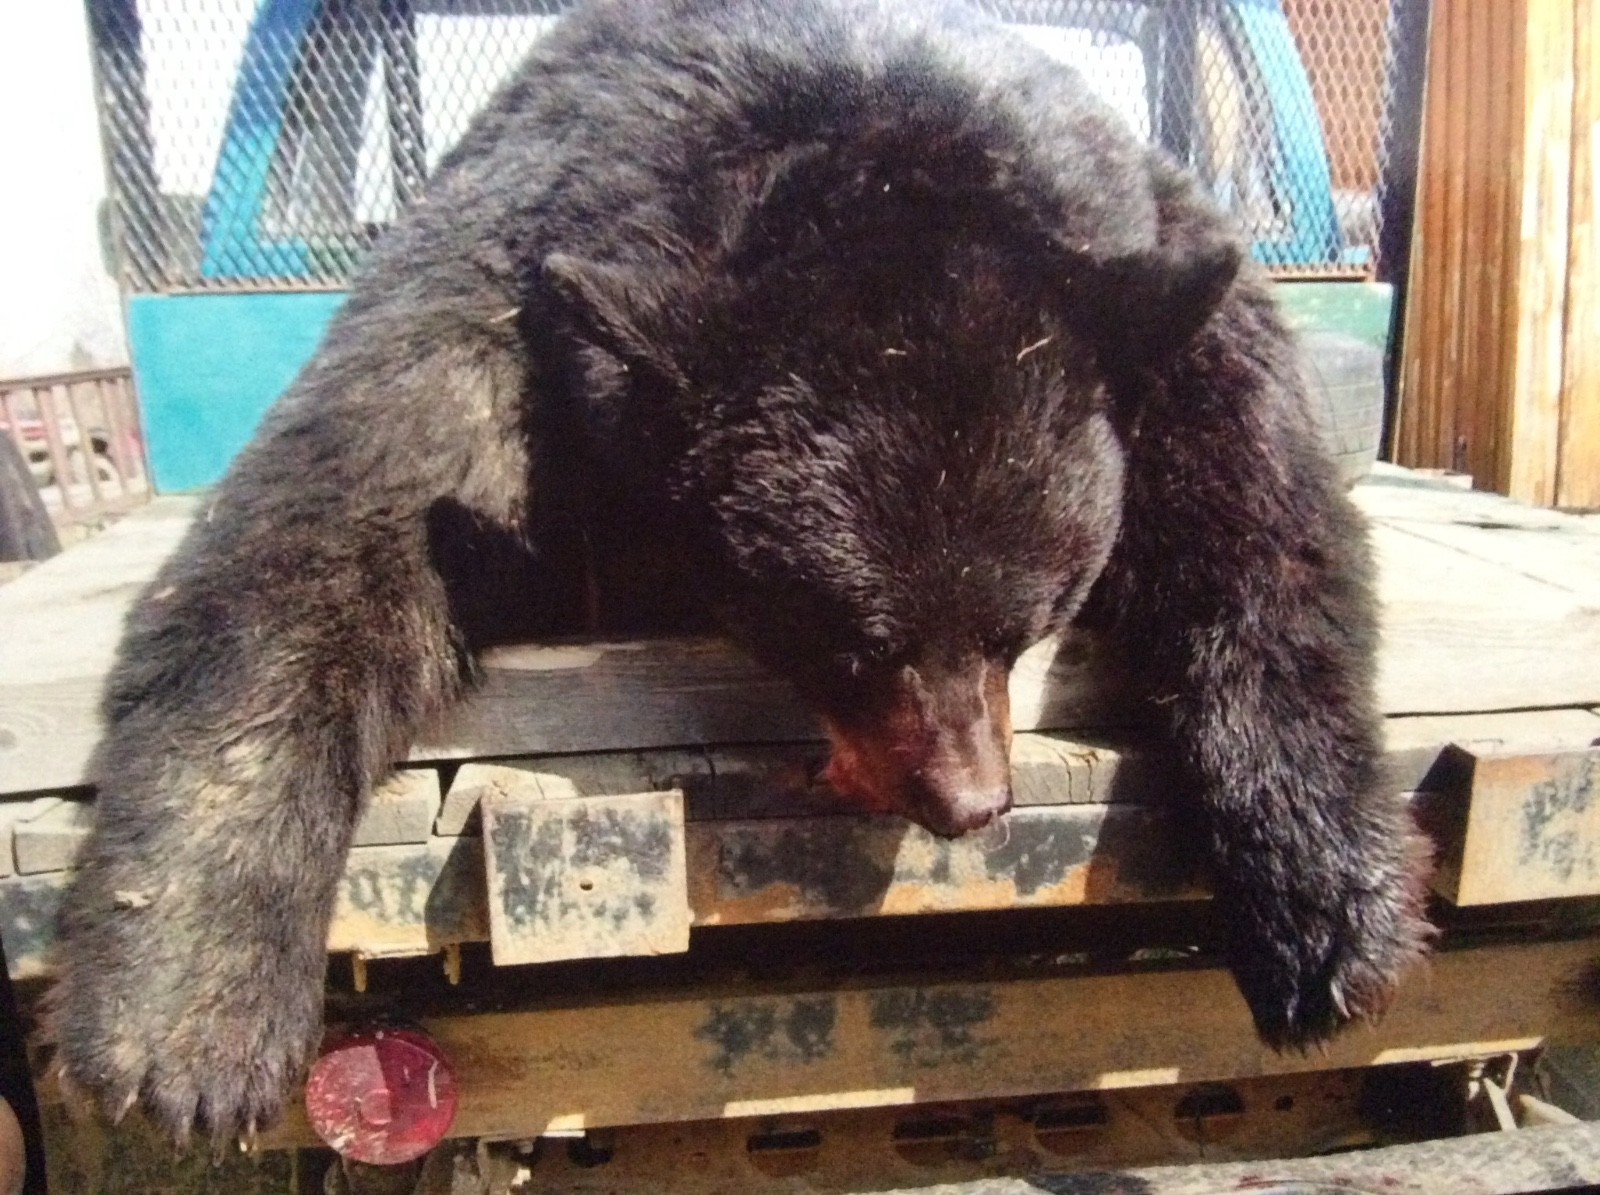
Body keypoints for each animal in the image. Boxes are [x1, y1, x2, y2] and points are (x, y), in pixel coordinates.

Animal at [49, 0, 1431, 1143]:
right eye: (848, 637)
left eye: (1027, 623)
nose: (968, 803)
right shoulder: (511, 286)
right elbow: (327, 533)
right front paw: (182, 1012)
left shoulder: (1146, 268)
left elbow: (1260, 497)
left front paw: (1331, 905)